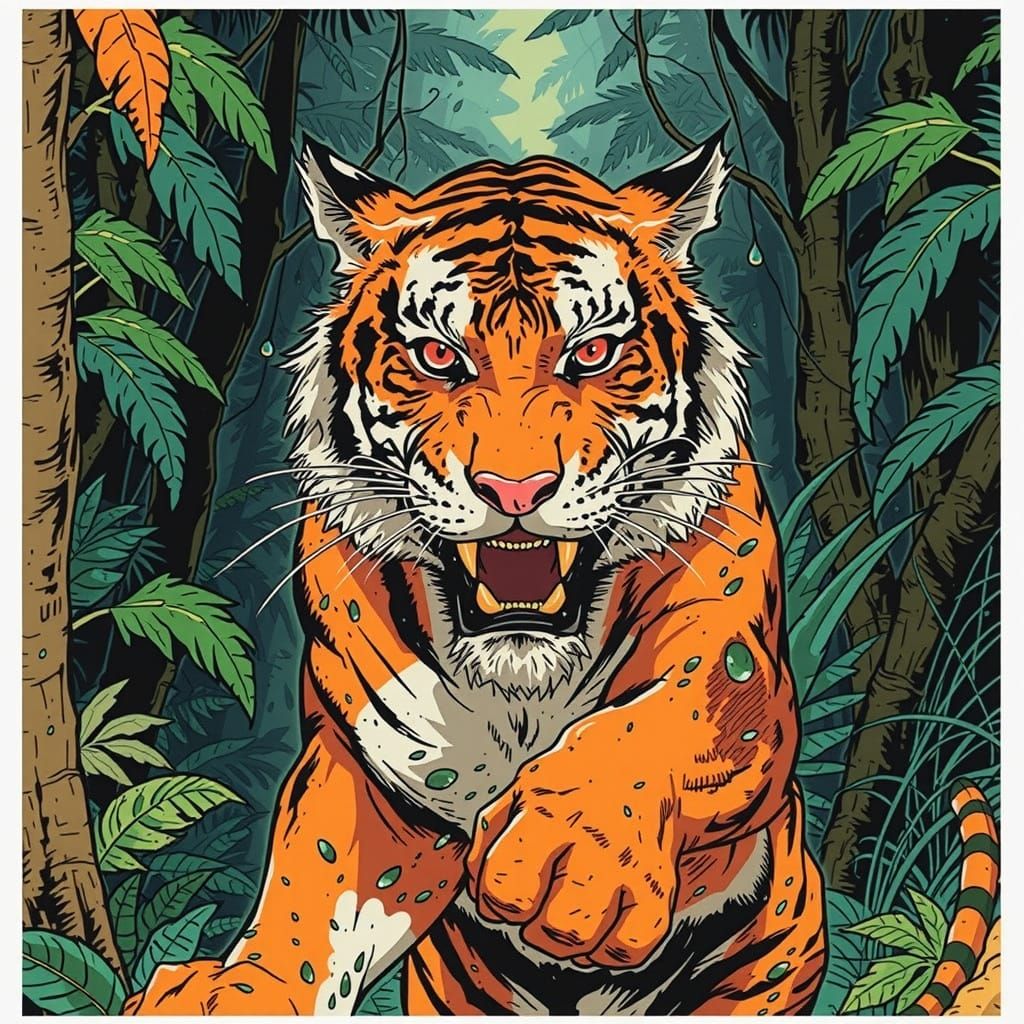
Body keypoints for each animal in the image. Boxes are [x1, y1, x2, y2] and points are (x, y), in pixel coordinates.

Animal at [124, 135, 997, 1016]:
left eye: (592, 353)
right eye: (438, 356)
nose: (515, 490)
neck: (519, 683)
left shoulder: (736, 666)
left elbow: (654, 724)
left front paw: (575, 853)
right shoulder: (376, 771)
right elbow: (314, 884)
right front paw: (239, 993)